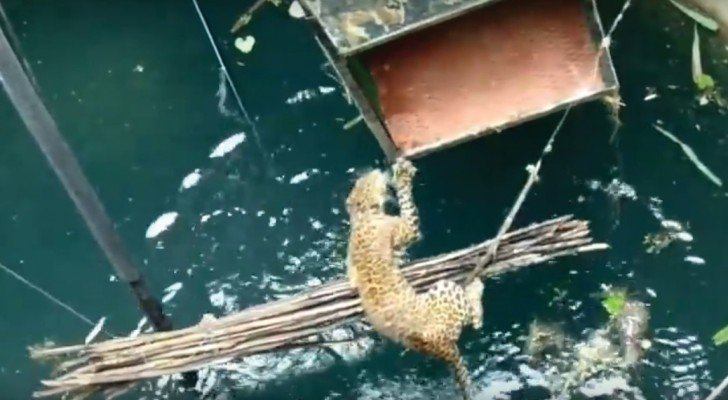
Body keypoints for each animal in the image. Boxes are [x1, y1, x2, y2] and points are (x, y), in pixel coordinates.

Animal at [345, 158, 484, 400]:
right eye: (369, 180)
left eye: (361, 181)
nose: (374, 170)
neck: (362, 218)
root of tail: (443, 349)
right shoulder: (405, 229)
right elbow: (407, 206)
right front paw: (402, 176)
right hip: (445, 289)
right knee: (475, 319)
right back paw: (475, 286)